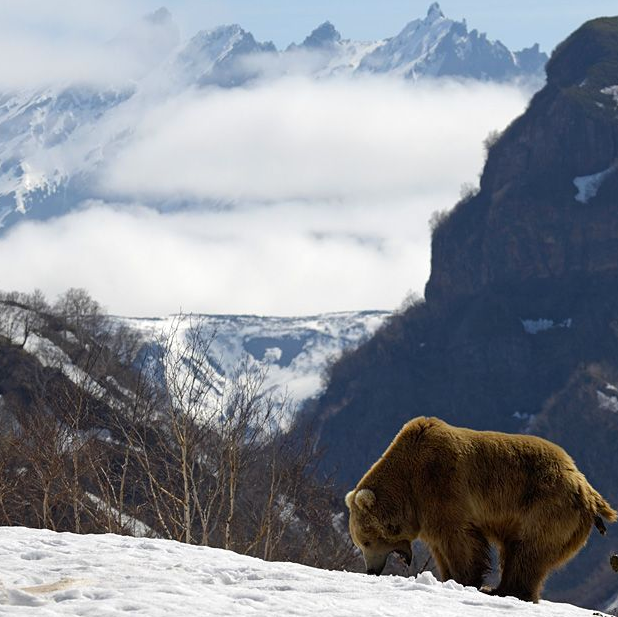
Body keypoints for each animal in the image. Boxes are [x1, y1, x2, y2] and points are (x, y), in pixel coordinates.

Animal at [344, 416, 612, 600]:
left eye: (366, 541)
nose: (371, 570)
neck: (408, 485)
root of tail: (585, 486)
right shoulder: (425, 509)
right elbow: (440, 546)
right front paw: (447, 577)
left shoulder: (441, 484)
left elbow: (459, 539)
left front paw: (465, 579)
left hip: (545, 505)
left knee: (528, 550)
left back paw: (506, 590)